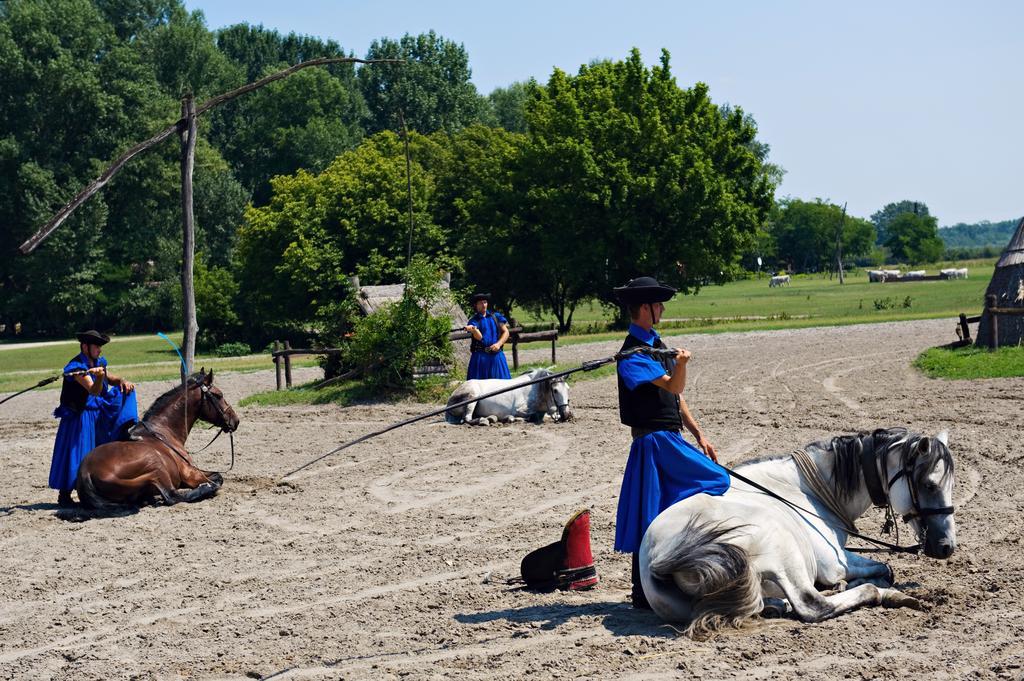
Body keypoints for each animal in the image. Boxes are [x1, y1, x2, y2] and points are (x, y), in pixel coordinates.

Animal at [75, 368, 239, 507]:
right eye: (219, 395)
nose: (235, 421)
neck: (164, 431)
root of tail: (86, 472)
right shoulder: (190, 474)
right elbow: (218, 477)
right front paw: (210, 485)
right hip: (155, 465)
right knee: (172, 496)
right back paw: (205, 488)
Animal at [444, 366, 573, 426]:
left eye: (568, 389)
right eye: (555, 390)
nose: (566, 415)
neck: (537, 389)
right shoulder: (519, 410)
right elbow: (532, 415)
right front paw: (510, 418)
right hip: (473, 396)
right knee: (467, 419)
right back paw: (485, 420)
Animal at [638, 428, 958, 634]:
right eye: (929, 484)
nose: (947, 547)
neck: (807, 489)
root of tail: (659, 557)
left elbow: (884, 567)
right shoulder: (833, 562)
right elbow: (881, 570)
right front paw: (862, 585)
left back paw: (777, 604)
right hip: (784, 553)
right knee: (811, 605)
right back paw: (882, 595)